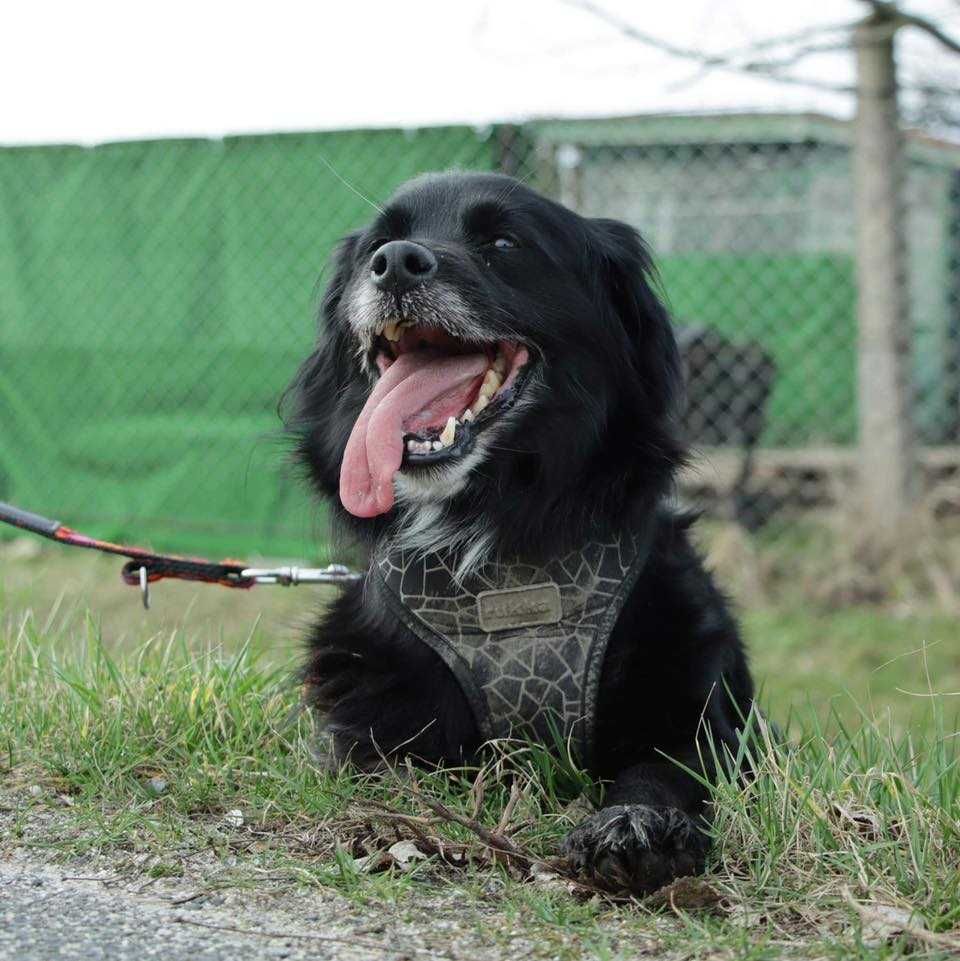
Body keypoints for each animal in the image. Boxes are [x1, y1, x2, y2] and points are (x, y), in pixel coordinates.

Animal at [288, 171, 752, 892]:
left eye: (504, 243)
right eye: (374, 245)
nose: (395, 262)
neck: (496, 540)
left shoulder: (697, 712)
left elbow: (665, 771)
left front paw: (637, 827)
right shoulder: (374, 721)